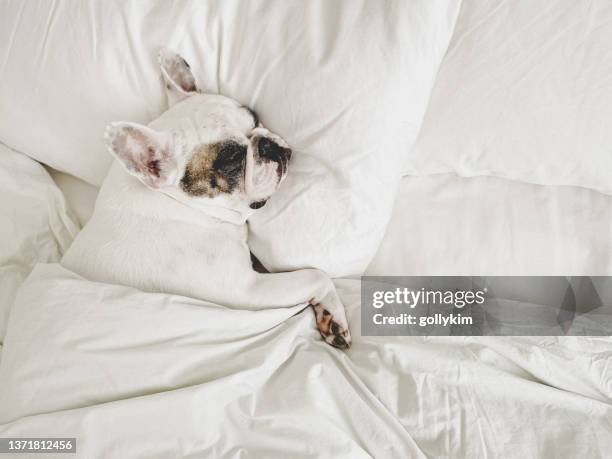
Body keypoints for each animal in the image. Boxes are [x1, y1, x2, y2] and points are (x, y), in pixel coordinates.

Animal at [62, 50, 352, 350]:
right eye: (232, 160)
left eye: (254, 118)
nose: (266, 143)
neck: (182, 206)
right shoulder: (248, 289)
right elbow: (315, 275)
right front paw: (335, 313)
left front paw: (327, 314)